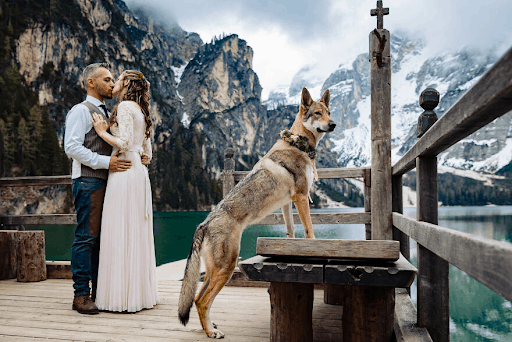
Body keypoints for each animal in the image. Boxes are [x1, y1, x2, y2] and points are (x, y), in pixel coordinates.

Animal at [178, 87, 334, 338]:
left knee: (197, 298)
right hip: (226, 268)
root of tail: (203, 224)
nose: (334, 124)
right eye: (317, 113)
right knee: (201, 301)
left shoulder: (287, 203)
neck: (297, 143)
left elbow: (291, 231)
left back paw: (210, 327)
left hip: (215, 270)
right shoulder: (301, 197)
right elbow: (310, 230)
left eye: (329, 112)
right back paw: (212, 333)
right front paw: (313, 248)